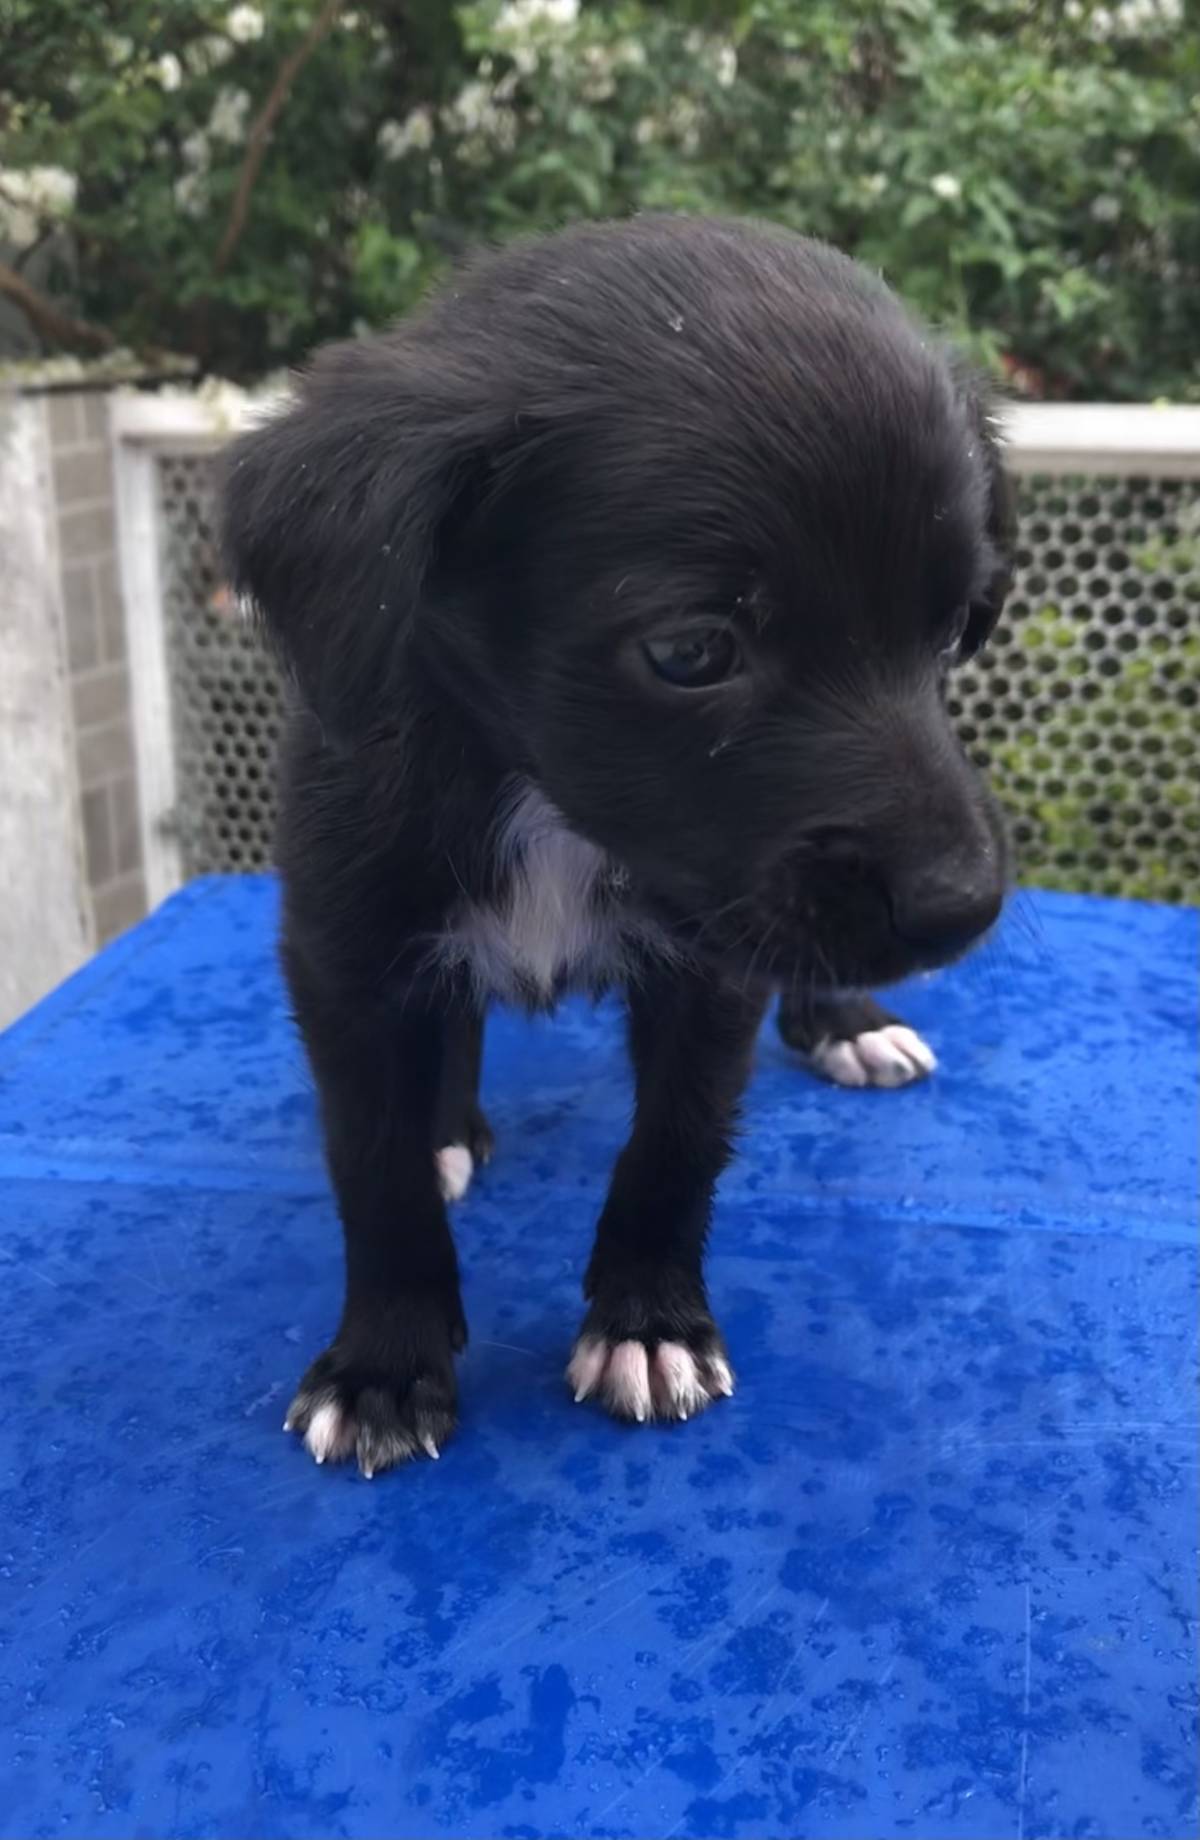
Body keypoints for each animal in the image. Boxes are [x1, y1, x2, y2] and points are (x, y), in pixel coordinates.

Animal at [221, 214, 1015, 1476]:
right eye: (692, 651)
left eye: (953, 631)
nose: (964, 904)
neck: (541, 798)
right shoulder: (342, 945)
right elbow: (376, 1166)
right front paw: (385, 1363)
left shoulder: (714, 962)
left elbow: (676, 1142)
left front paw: (650, 1322)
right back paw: (452, 1127)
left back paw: (845, 1023)